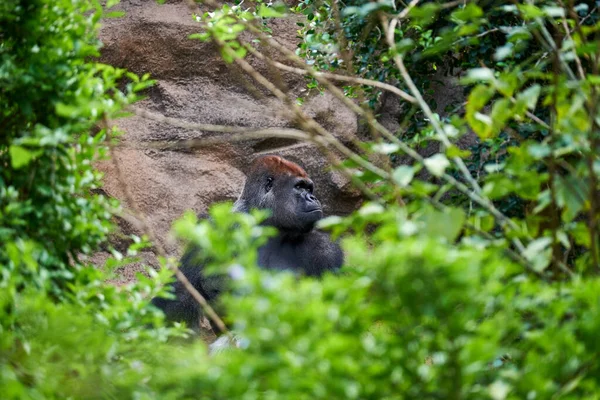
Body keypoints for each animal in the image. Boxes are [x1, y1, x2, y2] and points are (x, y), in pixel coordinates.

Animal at [152, 155, 344, 332]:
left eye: (309, 188)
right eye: (299, 187)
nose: (313, 197)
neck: (266, 227)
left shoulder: (326, 250)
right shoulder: (212, 229)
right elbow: (181, 294)